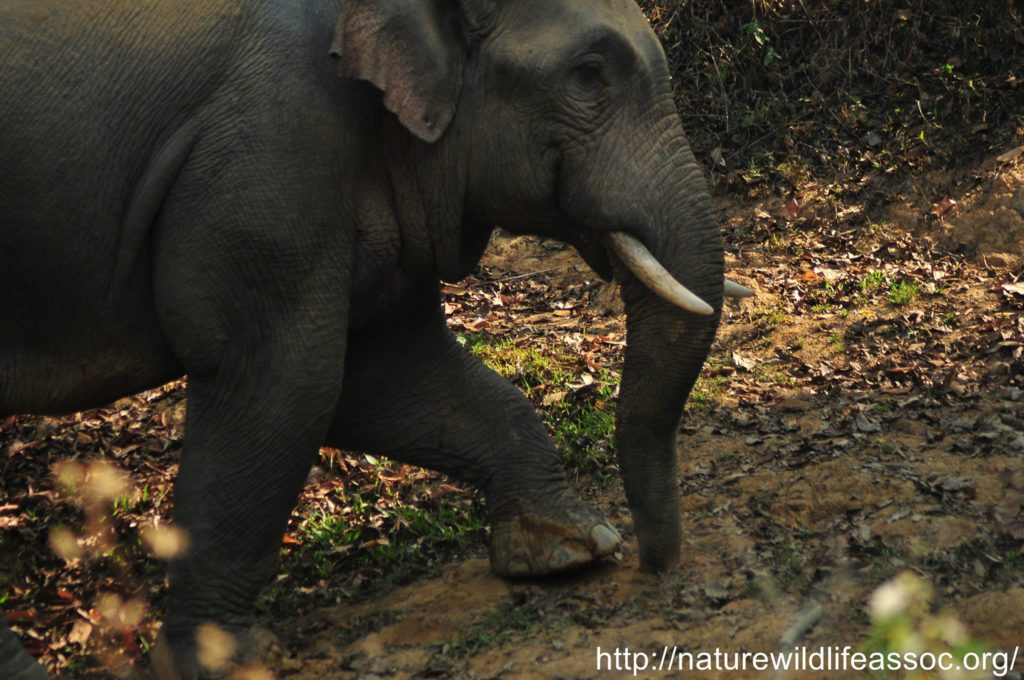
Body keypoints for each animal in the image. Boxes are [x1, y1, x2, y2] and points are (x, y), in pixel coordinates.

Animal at [2, 0, 753, 675]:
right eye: (589, 74)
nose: (655, 568)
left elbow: (387, 374)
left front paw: (571, 550)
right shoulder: (271, 160)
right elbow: (289, 383)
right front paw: (230, 663)